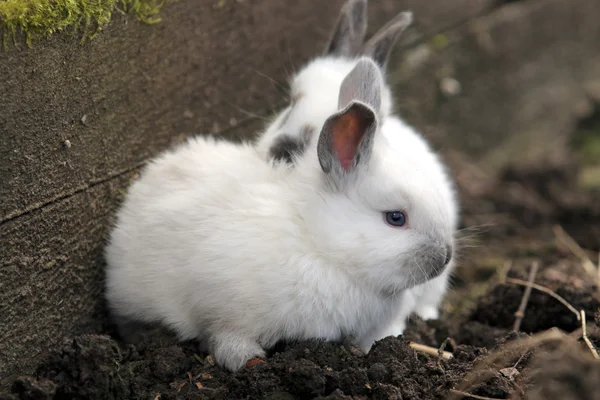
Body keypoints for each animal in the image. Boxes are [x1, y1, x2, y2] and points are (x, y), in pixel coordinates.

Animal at [104, 56, 454, 372]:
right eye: (396, 218)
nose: (445, 257)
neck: (316, 243)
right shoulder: (221, 307)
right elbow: (224, 336)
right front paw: (250, 360)